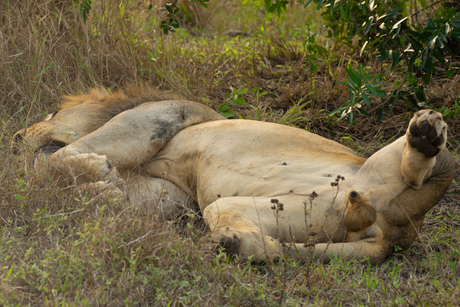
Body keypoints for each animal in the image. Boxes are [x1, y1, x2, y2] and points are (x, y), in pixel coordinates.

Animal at [12, 86, 454, 264]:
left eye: (52, 112)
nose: (16, 136)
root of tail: (393, 236)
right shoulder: (172, 197)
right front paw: (102, 191)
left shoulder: (159, 116)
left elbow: (54, 160)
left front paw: (96, 175)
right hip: (257, 210)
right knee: (271, 248)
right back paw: (229, 244)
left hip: (383, 170)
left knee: (432, 169)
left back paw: (425, 135)